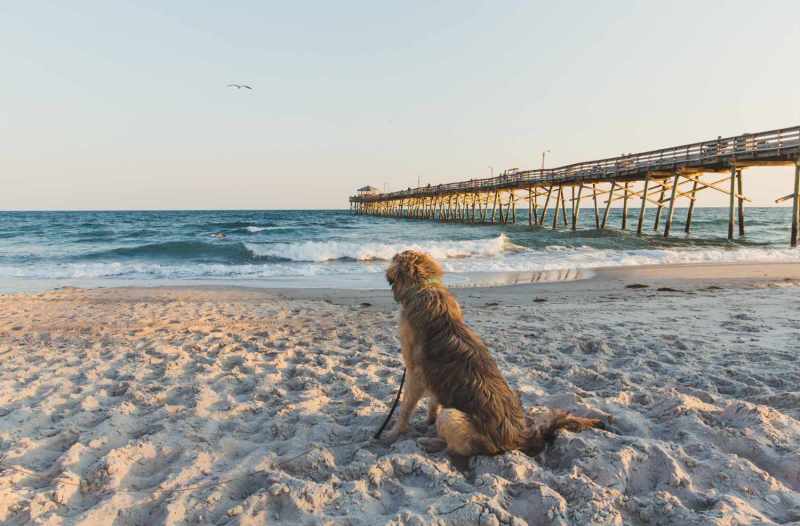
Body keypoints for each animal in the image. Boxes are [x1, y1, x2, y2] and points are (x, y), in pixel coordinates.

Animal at [384, 250, 604, 460]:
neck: (425, 287)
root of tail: (517, 436)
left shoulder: (414, 373)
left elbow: (405, 408)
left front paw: (394, 433)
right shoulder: (430, 375)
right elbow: (434, 400)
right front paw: (429, 419)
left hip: (452, 415)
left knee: (459, 449)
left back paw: (429, 442)